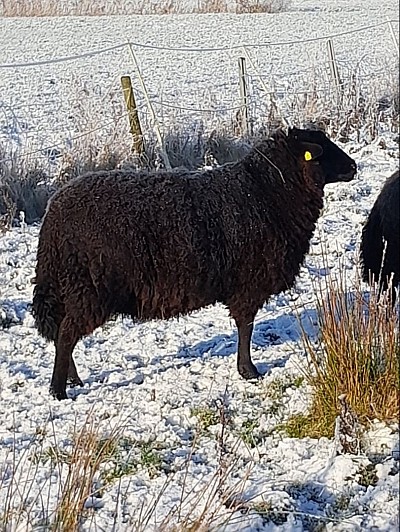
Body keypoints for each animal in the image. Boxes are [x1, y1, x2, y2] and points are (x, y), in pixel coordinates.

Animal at [31, 128, 356, 400]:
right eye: (322, 150)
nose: (353, 167)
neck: (266, 191)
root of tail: (53, 214)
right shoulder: (249, 283)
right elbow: (246, 327)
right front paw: (248, 371)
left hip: (74, 288)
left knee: (62, 332)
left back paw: (72, 379)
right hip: (88, 287)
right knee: (67, 334)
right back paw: (59, 390)